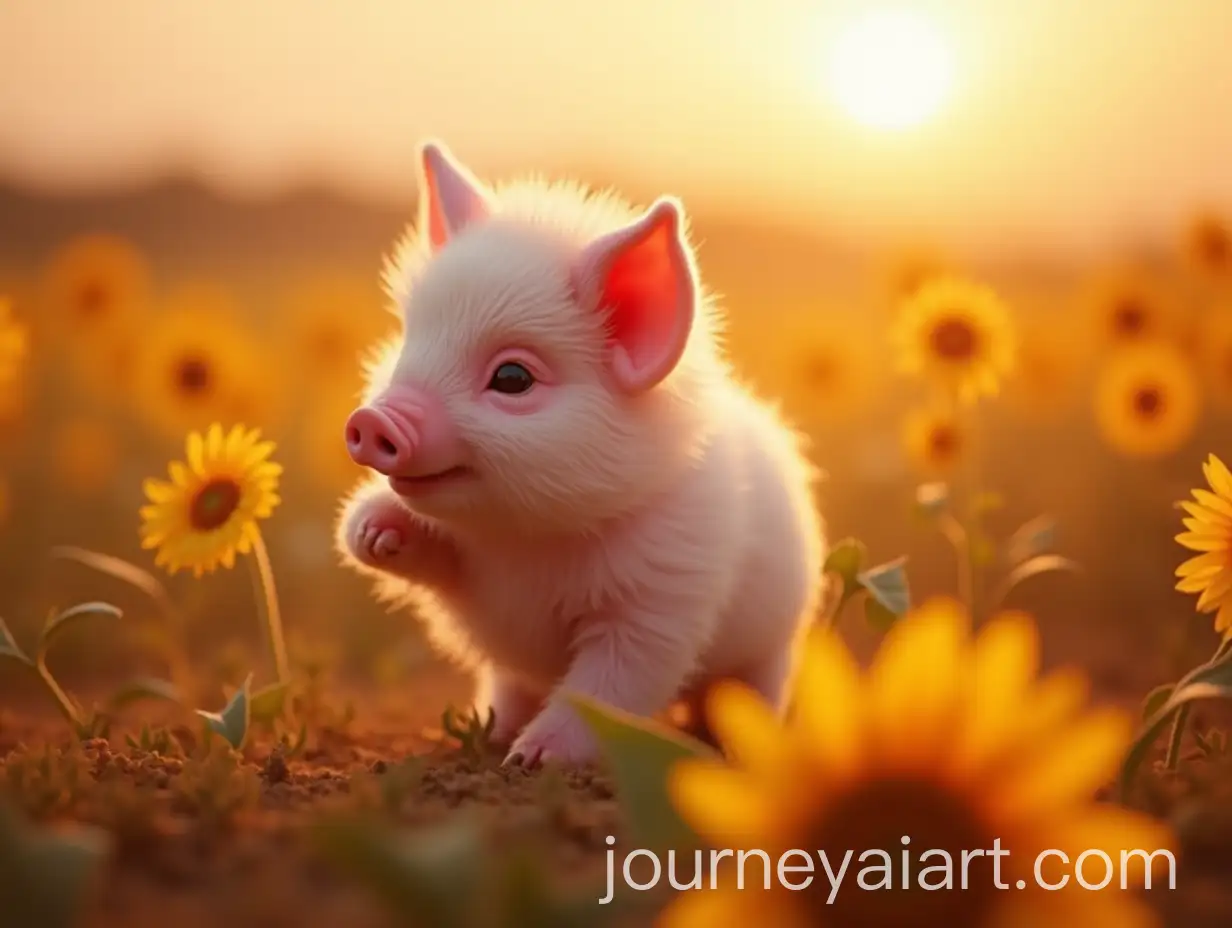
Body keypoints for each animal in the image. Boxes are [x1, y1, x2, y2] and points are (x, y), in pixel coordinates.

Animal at [335, 140, 826, 765]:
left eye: (513, 377)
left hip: (772, 647)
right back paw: (483, 732)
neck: (530, 543)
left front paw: (532, 762)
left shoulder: (663, 598)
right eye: (407, 344)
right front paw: (373, 531)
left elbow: (607, 685)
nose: (370, 420)